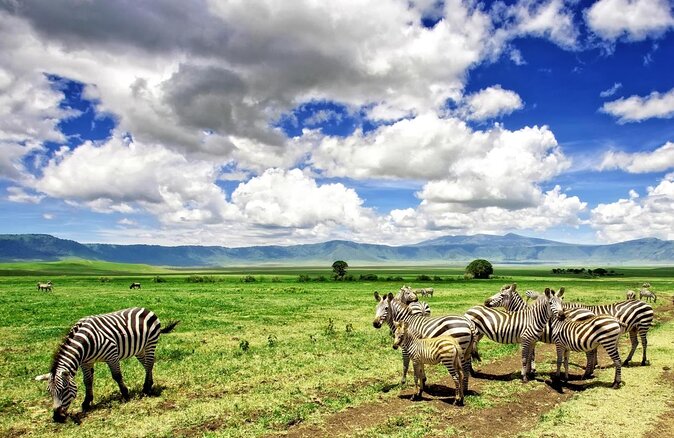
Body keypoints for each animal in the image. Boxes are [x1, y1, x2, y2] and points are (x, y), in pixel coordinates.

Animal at [34, 306, 177, 422]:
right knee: (148, 364)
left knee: (149, 364)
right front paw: (86, 403)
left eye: (64, 390)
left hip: (150, 343)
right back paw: (149, 384)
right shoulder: (86, 363)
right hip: (139, 349)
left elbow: (117, 376)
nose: (57, 418)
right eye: (49, 392)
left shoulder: (111, 355)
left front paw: (125, 394)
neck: (85, 343)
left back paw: (146, 388)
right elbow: (87, 381)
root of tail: (146, 309)